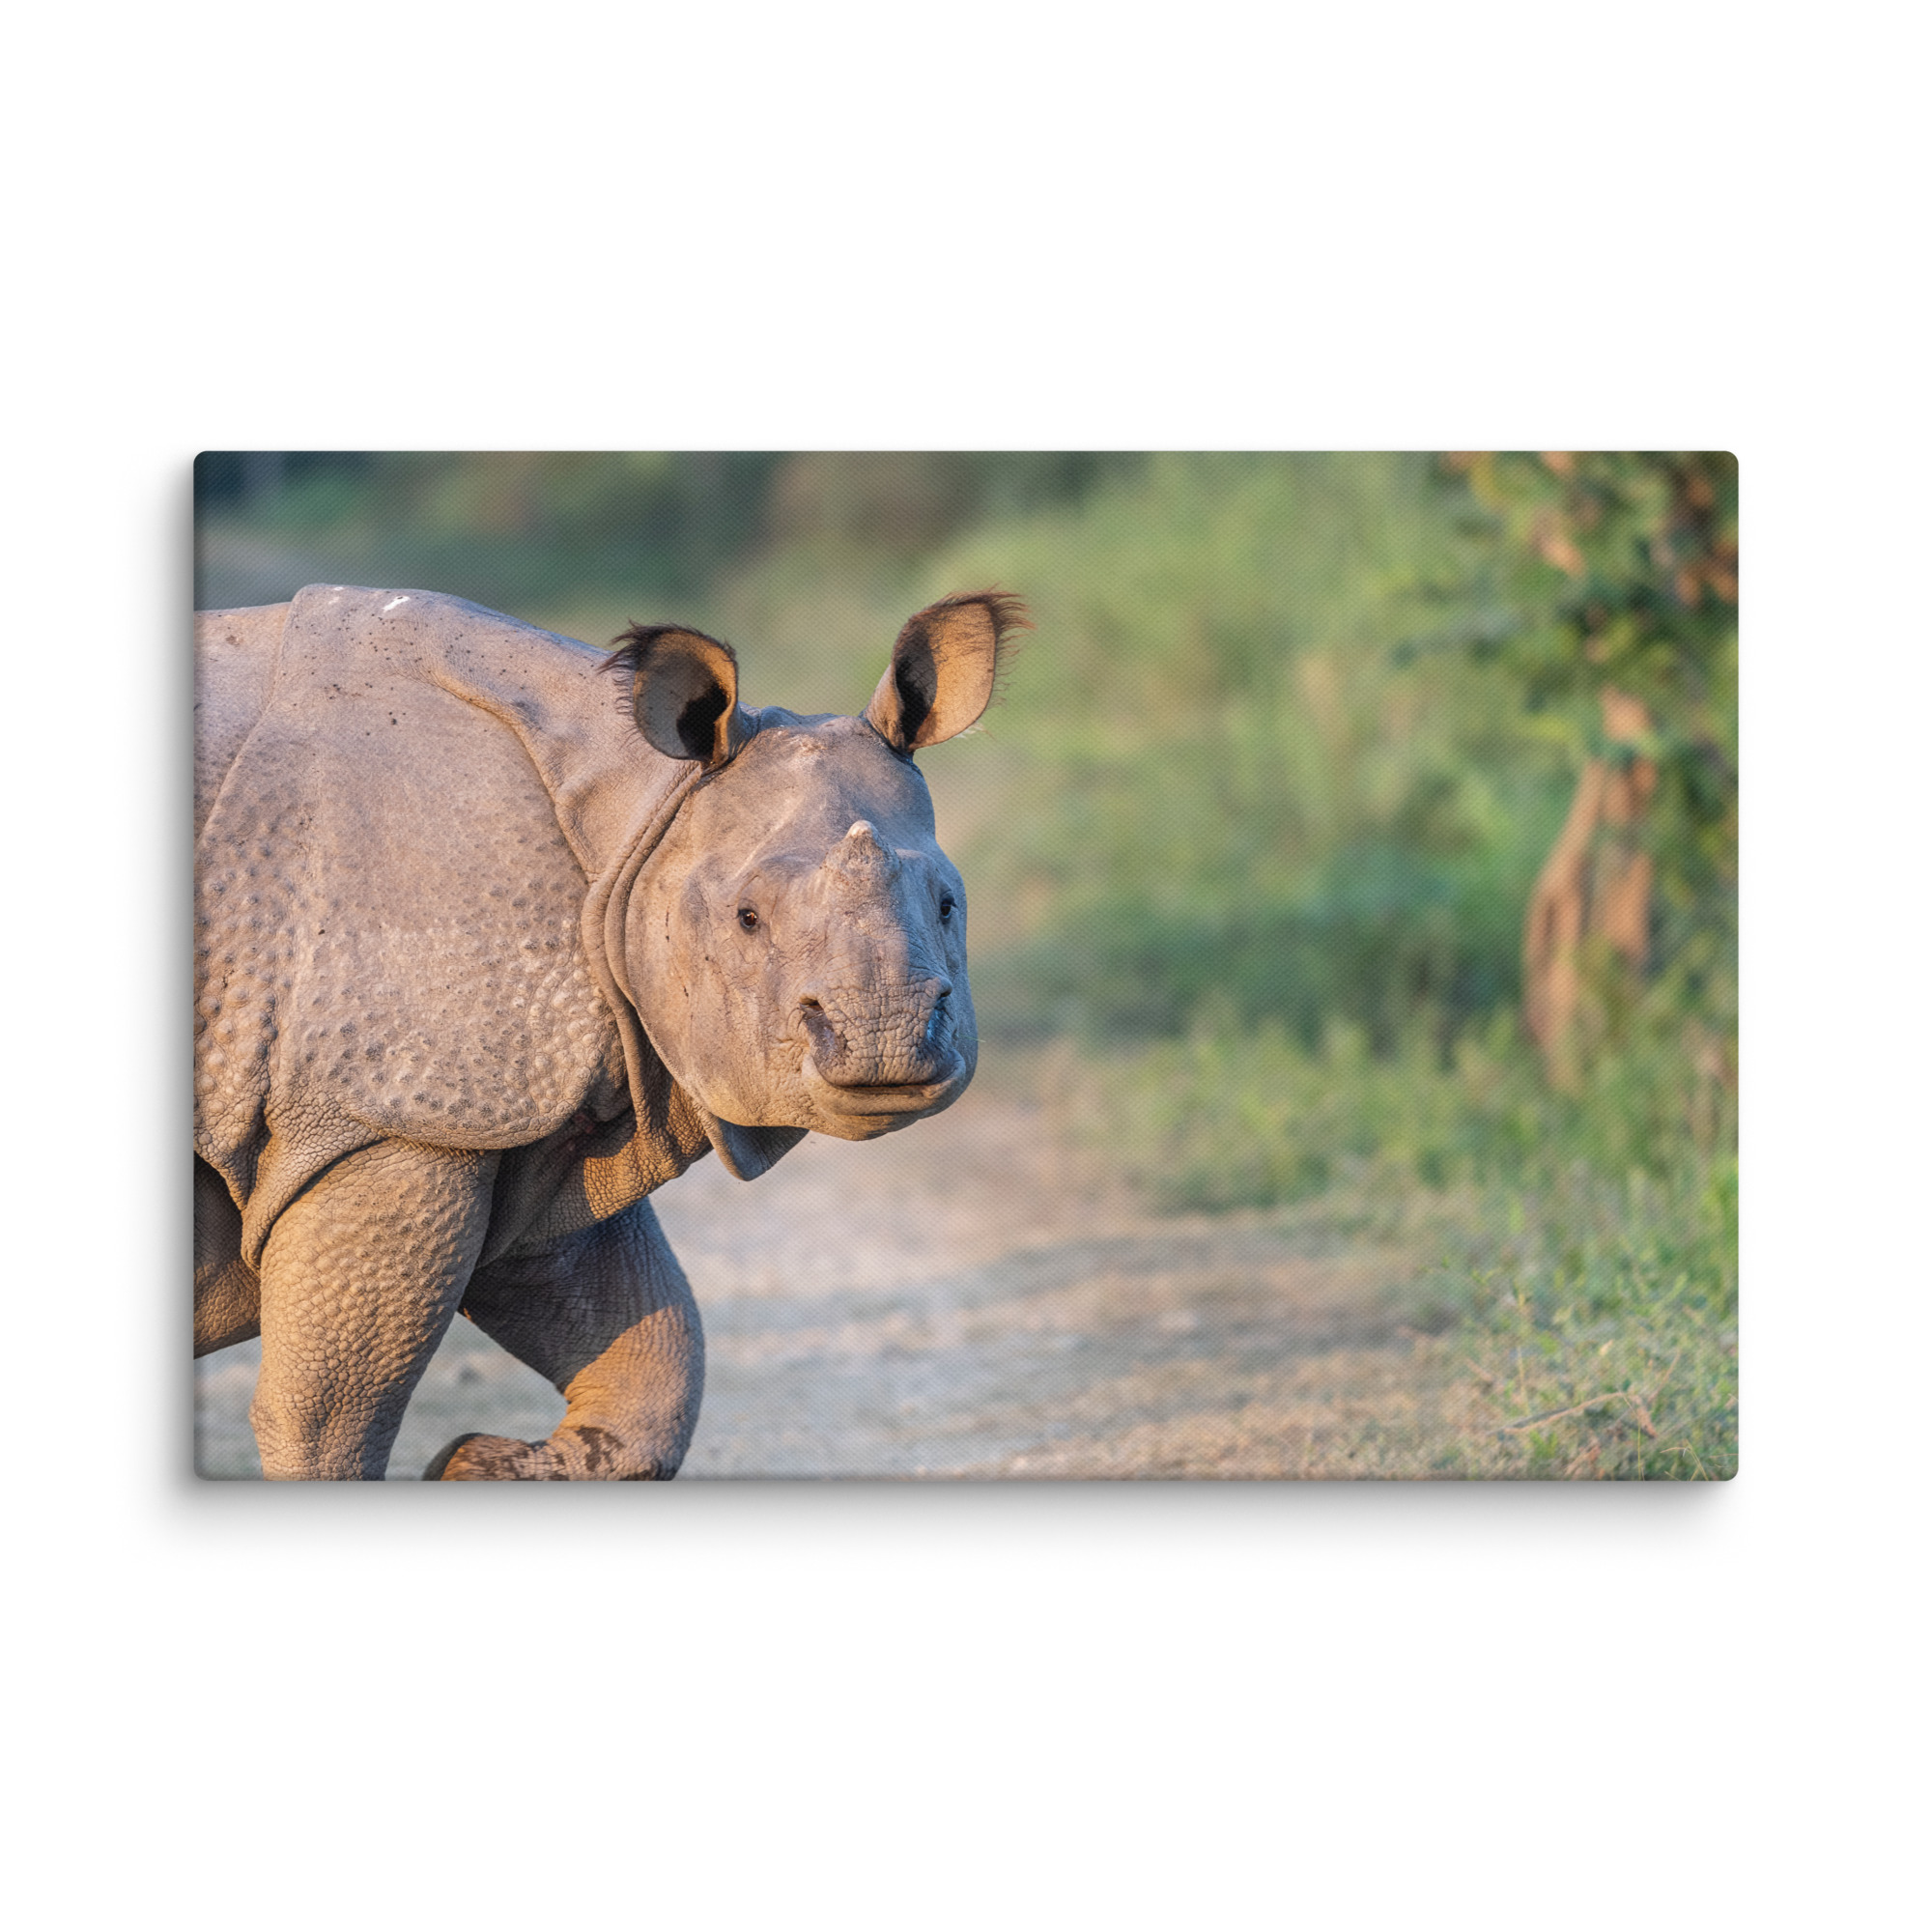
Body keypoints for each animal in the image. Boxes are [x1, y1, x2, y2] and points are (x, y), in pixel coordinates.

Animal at [194, 582, 1027, 1479]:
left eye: (948, 905)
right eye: (746, 919)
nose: (884, 1040)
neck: (640, 815)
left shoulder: (511, 1115)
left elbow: (650, 1354)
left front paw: (476, 1464)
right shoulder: (391, 1116)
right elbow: (330, 1416)